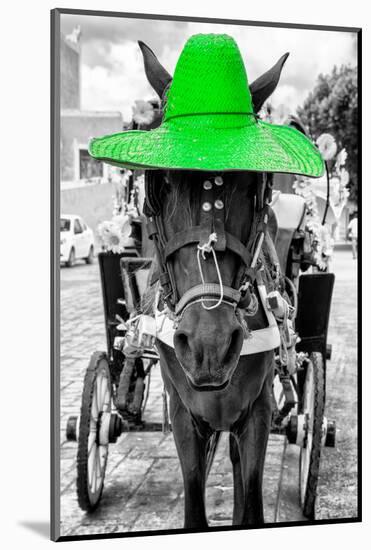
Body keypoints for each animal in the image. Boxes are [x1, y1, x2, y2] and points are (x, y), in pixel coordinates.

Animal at [141, 42, 290, 528]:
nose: (210, 345)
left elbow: (252, 498)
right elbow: (194, 499)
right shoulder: (184, 416)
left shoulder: (258, 411)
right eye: (158, 183)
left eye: (255, 184)